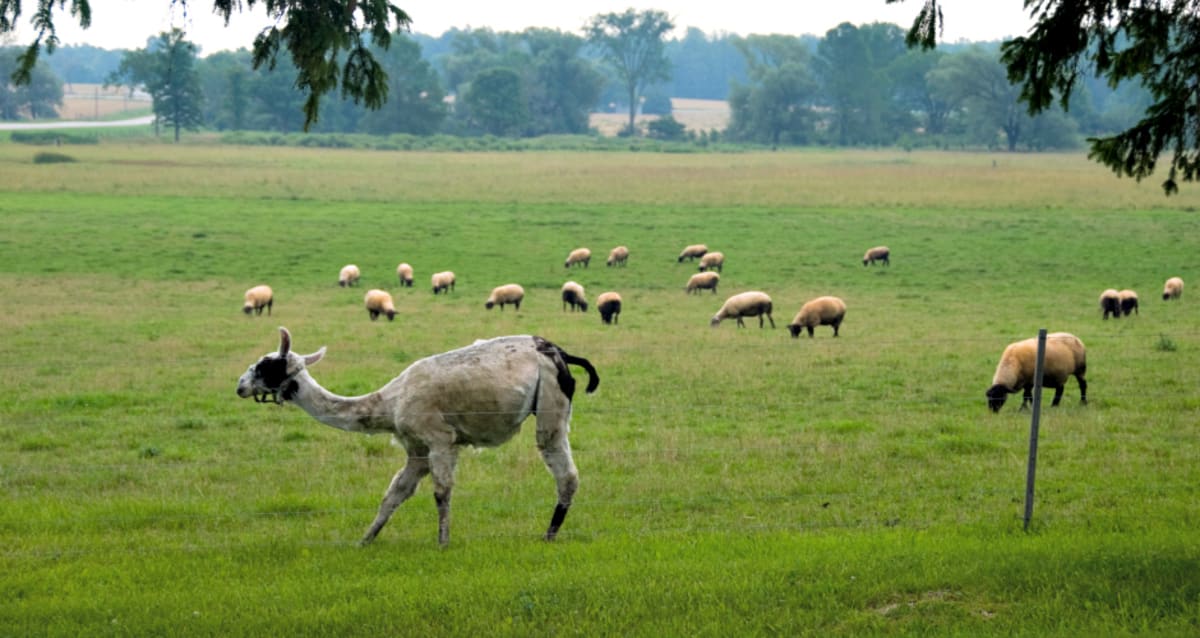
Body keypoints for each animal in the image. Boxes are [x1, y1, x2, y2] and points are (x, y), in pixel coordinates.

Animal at [237, 327, 599, 546]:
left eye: (265, 366)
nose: (239, 385)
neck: (391, 402)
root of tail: (558, 352)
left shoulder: (440, 440)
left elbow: (441, 493)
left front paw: (443, 543)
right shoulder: (417, 450)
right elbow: (394, 494)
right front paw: (364, 541)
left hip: (550, 404)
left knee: (566, 474)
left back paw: (549, 535)